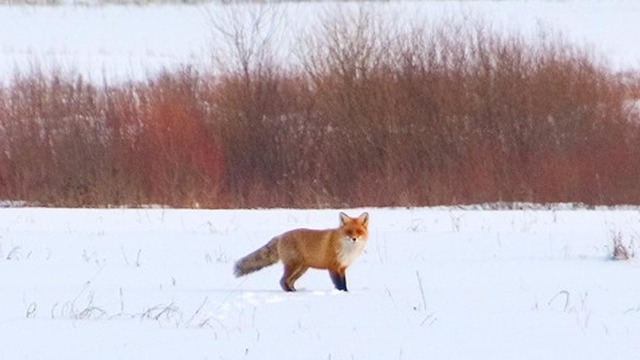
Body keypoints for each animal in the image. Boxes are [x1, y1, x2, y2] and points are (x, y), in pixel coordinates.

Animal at [234, 212, 370, 292]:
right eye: (349, 231)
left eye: (358, 231)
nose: (354, 239)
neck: (347, 249)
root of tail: (280, 236)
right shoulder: (333, 267)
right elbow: (339, 284)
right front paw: (342, 293)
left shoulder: (342, 268)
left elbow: (344, 283)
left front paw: (346, 293)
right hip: (294, 266)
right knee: (282, 281)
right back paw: (291, 293)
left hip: (301, 269)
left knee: (289, 281)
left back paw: (295, 291)